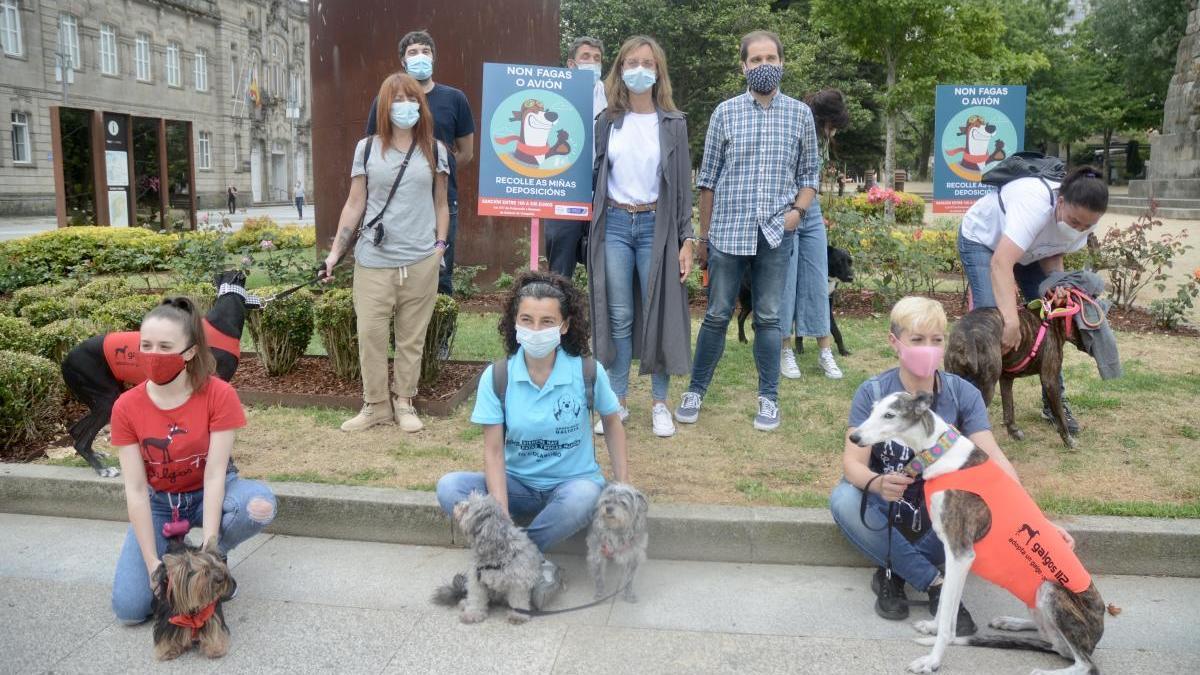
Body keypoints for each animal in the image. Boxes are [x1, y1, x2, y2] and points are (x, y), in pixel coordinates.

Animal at [432, 487, 540, 624]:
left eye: (468, 507)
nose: (456, 502)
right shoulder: (477, 580)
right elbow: (476, 598)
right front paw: (472, 613)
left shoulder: (519, 581)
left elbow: (518, 600)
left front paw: (518, 615)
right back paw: (465, 603)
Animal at [854, 389, 1104, 672]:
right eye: (873, 410)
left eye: (889, 415)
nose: (854, 437)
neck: (940, 450)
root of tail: (1096, 637)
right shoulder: (952, 553)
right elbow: (944, 602)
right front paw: (933, 627)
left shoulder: (961, 554)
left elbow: (948, 623)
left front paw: (932, 660)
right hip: (1038, 604)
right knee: (1050, 637)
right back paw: (1011, 622)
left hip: (1051, 590)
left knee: (1085, 665)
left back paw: (1043, 670)